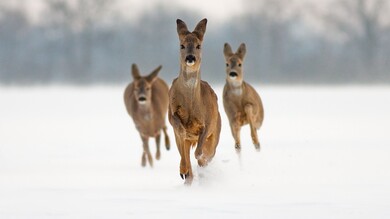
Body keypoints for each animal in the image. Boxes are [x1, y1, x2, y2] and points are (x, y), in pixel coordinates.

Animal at [168, 18, 221, 184]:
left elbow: (199, 152)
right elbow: (180, 130)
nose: (190, 58)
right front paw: (184, 171)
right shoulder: (171, 115)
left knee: (207, 153)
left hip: (216, 132)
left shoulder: (208, 122)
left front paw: (201, 162)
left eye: (199, 45)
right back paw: (186, 174)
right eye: (182, 45)